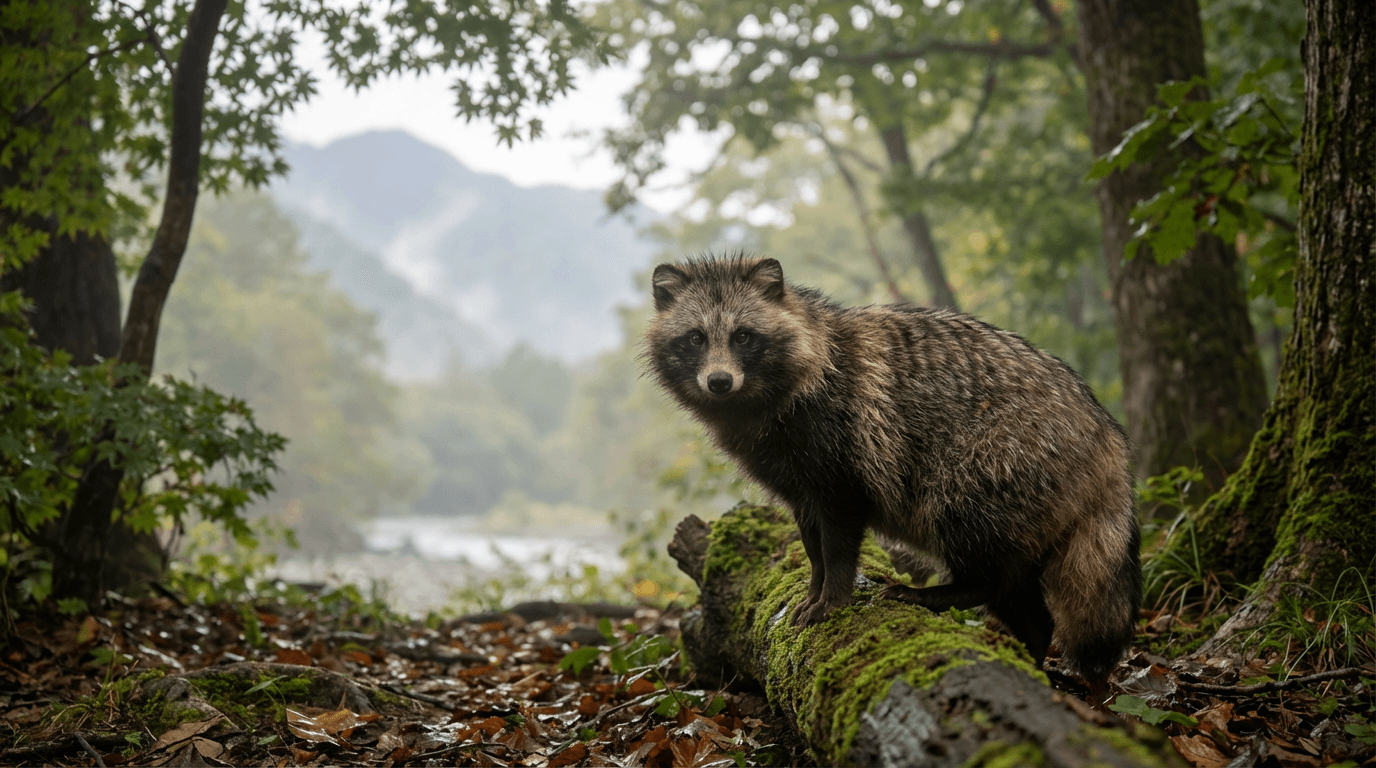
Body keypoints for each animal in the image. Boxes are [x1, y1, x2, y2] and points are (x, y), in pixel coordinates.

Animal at [644, 254, 1142, 685]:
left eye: (743, 336)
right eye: (696, 338)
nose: (719, 381)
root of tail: (1106, 436)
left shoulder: (842, 452)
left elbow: (839, 540)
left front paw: (833, 596)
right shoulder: (794, 478)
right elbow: (812, 542)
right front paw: (815, 587)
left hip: (994, 463)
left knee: (980, 550)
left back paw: (952, 591)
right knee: (1027, 605)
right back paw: (1032, 648)